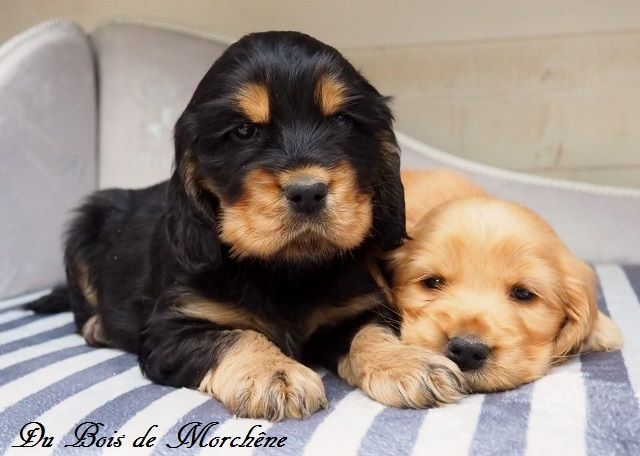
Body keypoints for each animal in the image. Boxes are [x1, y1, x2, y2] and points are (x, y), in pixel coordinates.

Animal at [27, 31, 462, 420]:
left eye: (342, 121)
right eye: (243, 131)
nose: (308, 192)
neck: (285, 269)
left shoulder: (359, 306)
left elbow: (371, 332)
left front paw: (407, 363)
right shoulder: (171, 332)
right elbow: (236, 336)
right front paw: (274, 374)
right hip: (85, 227)